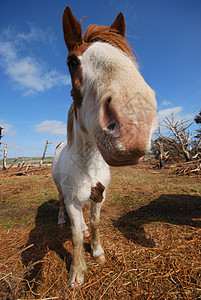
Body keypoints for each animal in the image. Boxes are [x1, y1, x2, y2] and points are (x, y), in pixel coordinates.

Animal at [51, 6, 157, 288]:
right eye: (71, 61)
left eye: (127, 57)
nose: (135, 120)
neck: (88, 164)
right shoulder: (74, 201)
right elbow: (75, 237)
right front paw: (77, 272)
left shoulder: (100, 195)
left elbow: (95, 222)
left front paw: (97, 252)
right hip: (61, 191)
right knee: (61, 203)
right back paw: (61, 219)